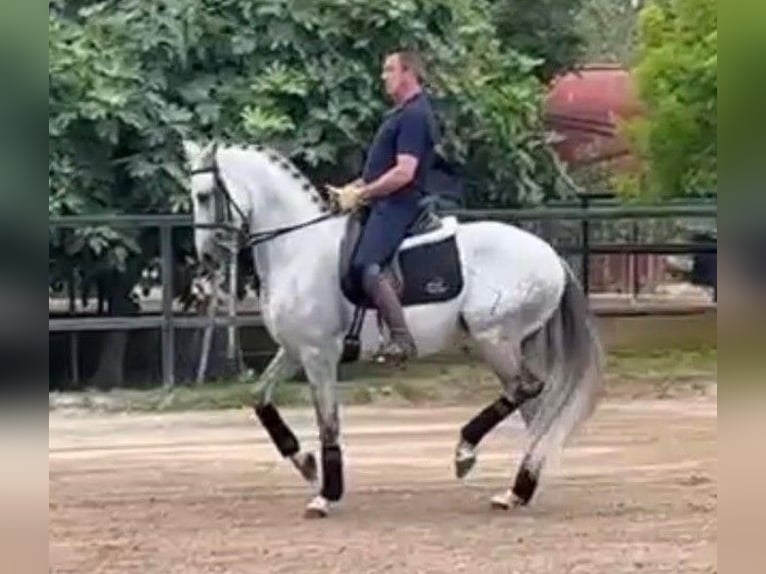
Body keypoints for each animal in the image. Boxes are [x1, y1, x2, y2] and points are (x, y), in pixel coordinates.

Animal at [184, 140, 604, 518]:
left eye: (204, 195)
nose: (206, 258)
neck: (297, 247)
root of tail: (552, 256)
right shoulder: (293, 350)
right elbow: (260, 397)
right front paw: (304, 462)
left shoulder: (319, 354)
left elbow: (328, 422)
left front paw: (326, 495)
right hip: (515, 342)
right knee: (535, 409)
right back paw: (517, 491)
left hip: (493, 338)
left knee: (525, 390)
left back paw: (467, 452)